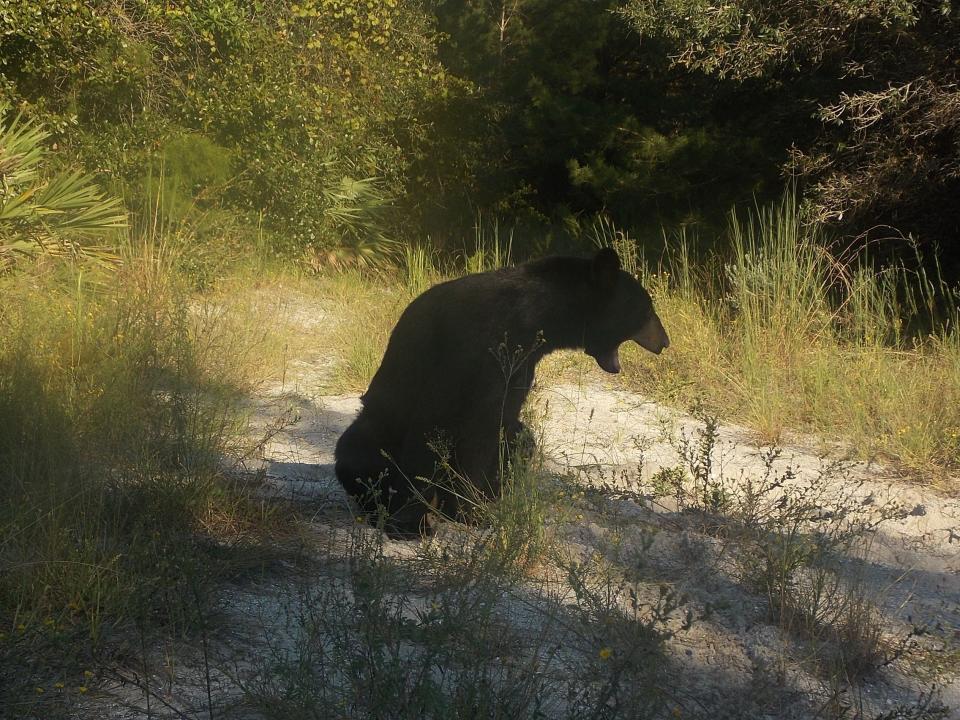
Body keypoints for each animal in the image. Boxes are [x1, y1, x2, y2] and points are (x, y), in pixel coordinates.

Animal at [336, 248, 668, 536]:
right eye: (648, 310)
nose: (665, 342)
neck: (538, 314)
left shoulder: (520, 361)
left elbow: (499, 423)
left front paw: (476, 508)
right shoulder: (475, 348)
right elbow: (441, 426)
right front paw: (415, 524)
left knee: (522, 439)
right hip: (374, 428)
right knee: (357, 450)